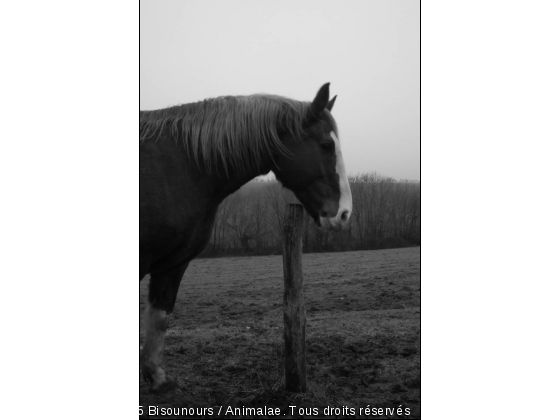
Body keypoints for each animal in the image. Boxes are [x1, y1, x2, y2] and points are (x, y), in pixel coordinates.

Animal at [139, 83, 350, 394]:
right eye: (326, 145)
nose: (345, 213)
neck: (183, 166)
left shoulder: (173, 264)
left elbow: (160, 317)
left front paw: (158, 378)